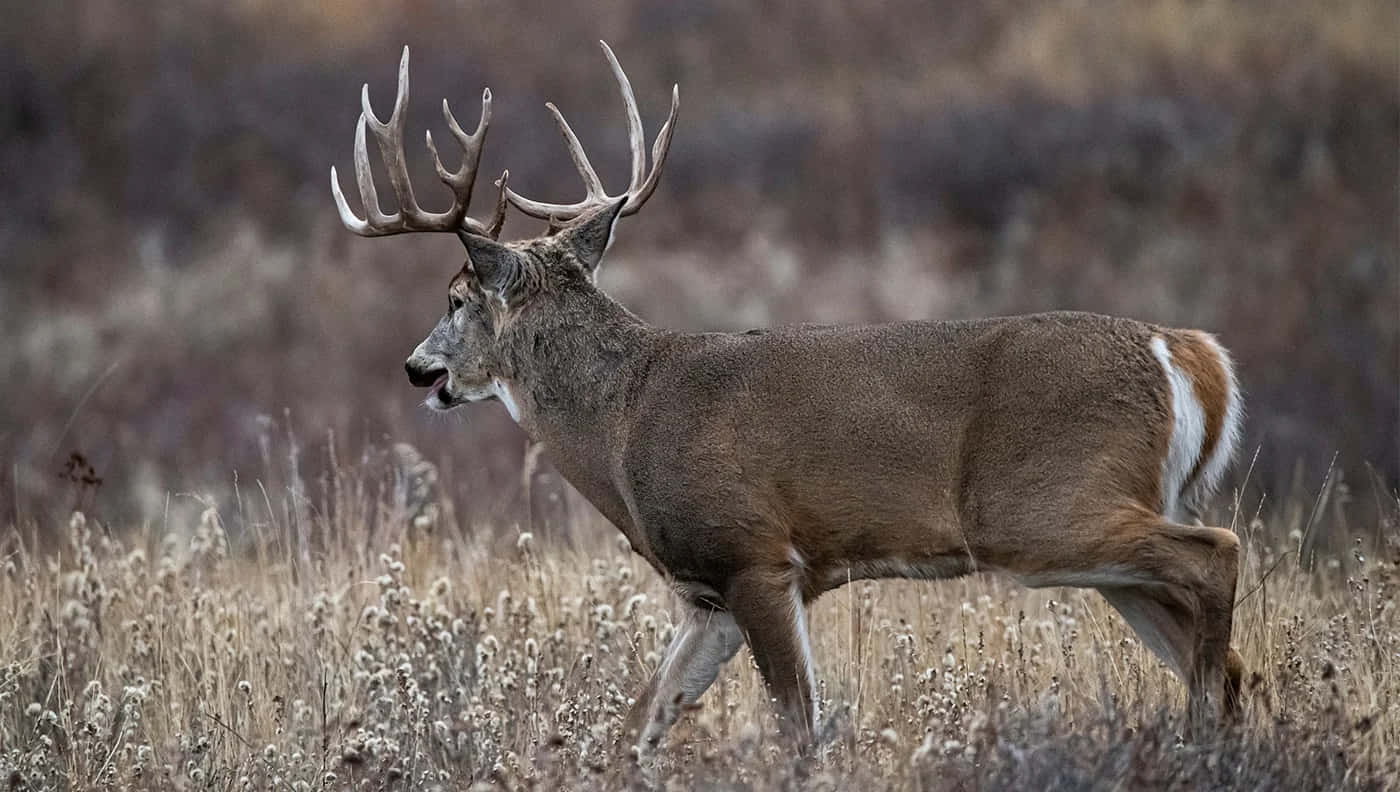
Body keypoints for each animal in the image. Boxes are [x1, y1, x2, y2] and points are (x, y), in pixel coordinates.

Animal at [330, 42, 1246, 753]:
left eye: (456, 297)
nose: (415, 368)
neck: (625, 420)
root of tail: (1189, 352)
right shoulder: (705, 594)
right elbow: (639, 724)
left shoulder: (756, 554)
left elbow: (800, 728)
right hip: (1102, 546)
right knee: (1227, 658)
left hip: (1041, 508)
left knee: (1219, 555)